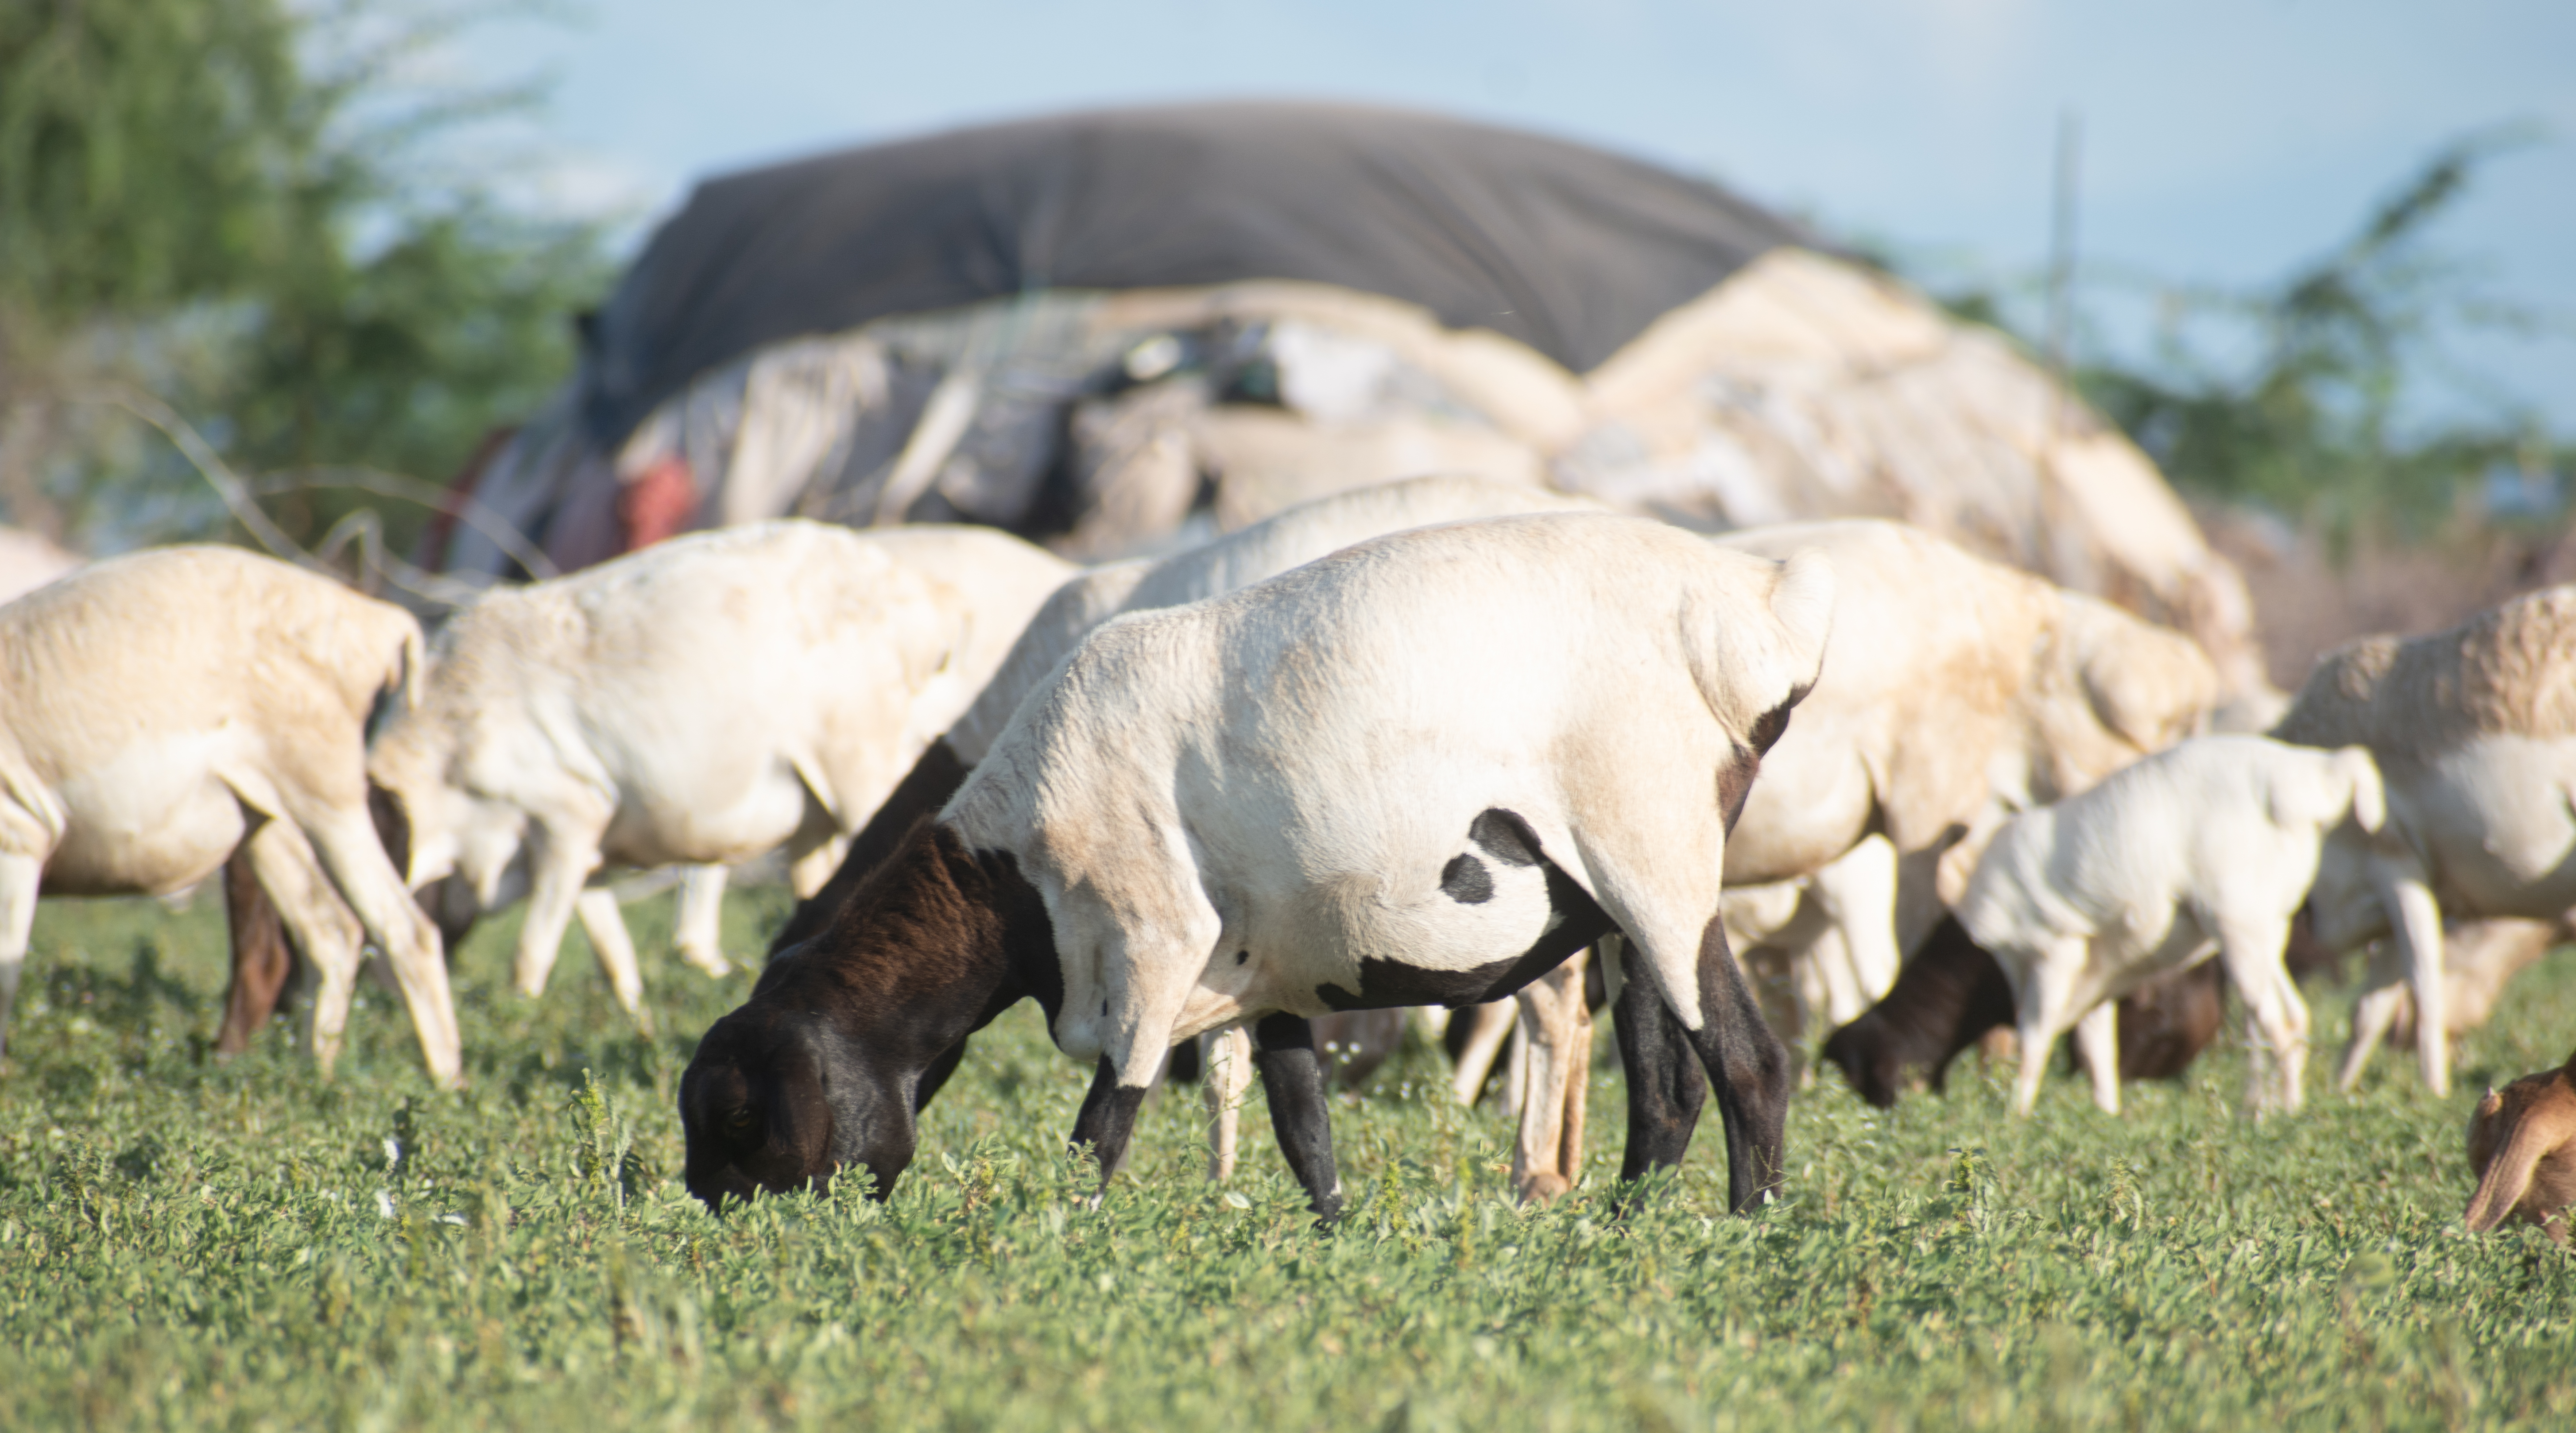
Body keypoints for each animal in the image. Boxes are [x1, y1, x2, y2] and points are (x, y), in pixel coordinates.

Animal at [0, 547, 462, 1084]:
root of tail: (379, 620)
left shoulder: (20, 837)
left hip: (326, 800)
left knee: (405, 931)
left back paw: (444, 1089)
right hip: (264, 825)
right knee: (329, 932)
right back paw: (311, 1081)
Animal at [362, 519, 1072, 1034]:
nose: (374, 1004)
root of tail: (925, 600)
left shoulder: (568, 814)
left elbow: (529, 953)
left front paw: (518, 1024)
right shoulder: (585, 844)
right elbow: (611, 948)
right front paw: (633, 1017)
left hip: (864, 767)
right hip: (816, 810)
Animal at [681, 513, 1835, 1217]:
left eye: (740, 1118)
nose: (709, 1220)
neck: (1011, 877)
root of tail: (1752, 611)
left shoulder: (1152, 953)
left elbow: (1102, 1128)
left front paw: (1056, 1239)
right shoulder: (1272, 975)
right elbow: (1304, 1132)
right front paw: (1330, 1239)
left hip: (1656, 862)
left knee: (1748, 1064)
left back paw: (1741, 1232)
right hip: (1615, 903)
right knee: (1667, 1087)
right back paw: (1629, 1228)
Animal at [1951, 735, 2385, 1116]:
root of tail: (2312, 775)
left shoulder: (2055, 952)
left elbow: (2033, 1036)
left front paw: (2015, 1116)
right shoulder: (2092, 971)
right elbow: (2096, 1045)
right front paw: (2105, 1114)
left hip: (2235, 923)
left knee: (2276, 1022)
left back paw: (2287, 1112)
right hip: (2265, 928)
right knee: (2292, 1016)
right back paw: (2259, 1111)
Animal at [2275, 587, 2576, 1097]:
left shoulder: (2397, 869)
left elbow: (2422, 986)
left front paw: (2434, 1092)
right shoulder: (2409, 888)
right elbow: (2370, 1006)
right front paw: (2339, 1095)